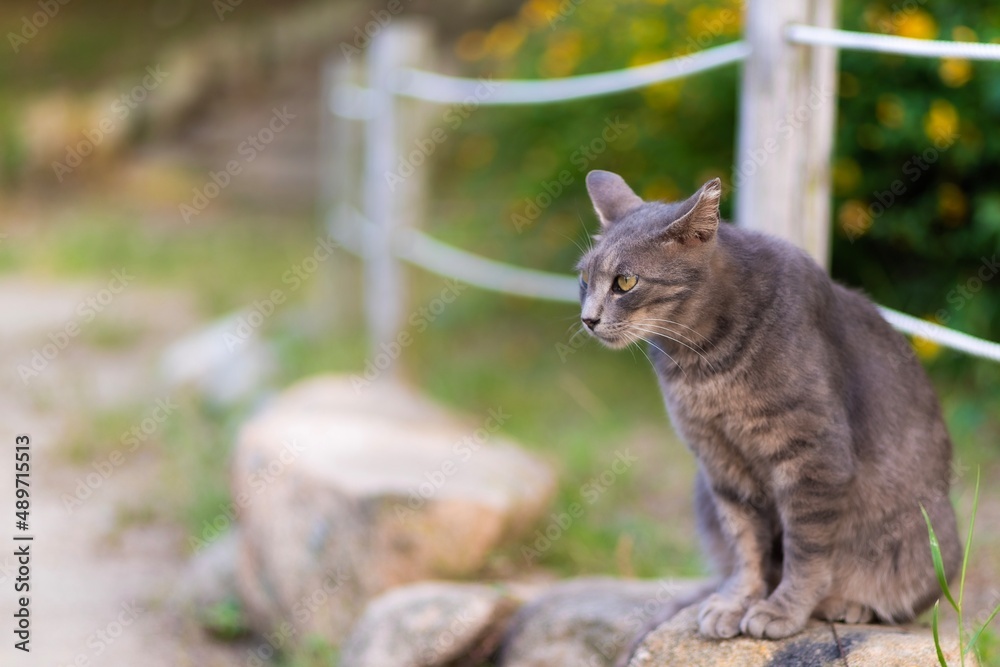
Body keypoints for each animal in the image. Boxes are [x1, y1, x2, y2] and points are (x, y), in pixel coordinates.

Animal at [580, 171, 960, 640]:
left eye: (625, 282)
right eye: (584, 278)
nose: (587, 319)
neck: (703, 364)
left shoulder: (814, 458)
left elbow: (806, 550)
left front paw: (782, 610)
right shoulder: (719, 463)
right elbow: (745, 542)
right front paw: (737, 600)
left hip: (929, 537)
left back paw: (849, 604)